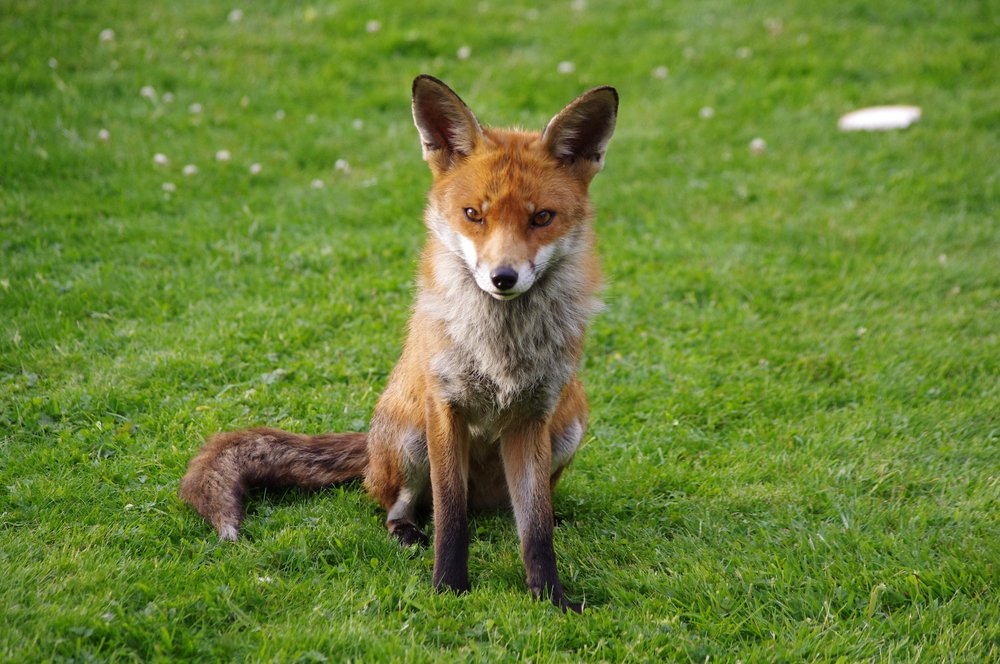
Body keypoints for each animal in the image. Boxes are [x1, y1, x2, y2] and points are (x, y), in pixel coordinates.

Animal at [180, 75, 618, 612]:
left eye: (541, 218)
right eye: (473, 215)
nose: (503, 277)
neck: (501, 348)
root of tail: (369, 443)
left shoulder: (533, 415)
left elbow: (534, 530)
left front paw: (551, 598)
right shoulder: (444, 407)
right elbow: (450, 517)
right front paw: (448, 588)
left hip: (568, 426)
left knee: (520, 512)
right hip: (410, 441)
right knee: (398, 506)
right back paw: (406, 532)